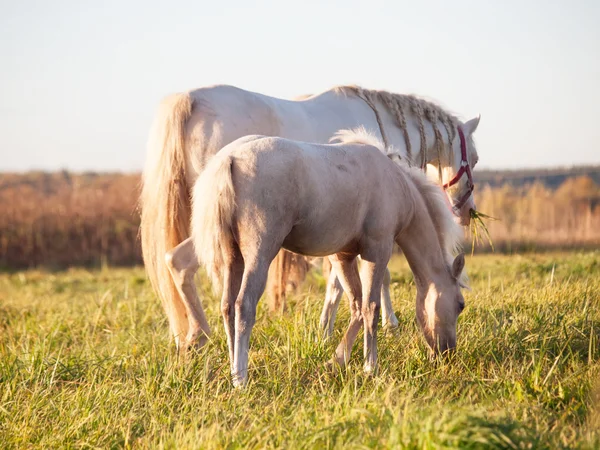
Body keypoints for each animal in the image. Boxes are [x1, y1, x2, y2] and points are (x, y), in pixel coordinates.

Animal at [192, 129, 468, 386]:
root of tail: (230, 157)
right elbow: (371, 307)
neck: (397, 184)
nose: (447, 354)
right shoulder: (377, 251)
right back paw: (241, 378)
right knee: (244, 305)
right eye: (460, 305)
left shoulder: (342, 257)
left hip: (233, 258)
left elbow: (356, 305)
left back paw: (232, 367)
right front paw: (370, 367)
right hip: (259, 256)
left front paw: (336, 361)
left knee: (228, 307)